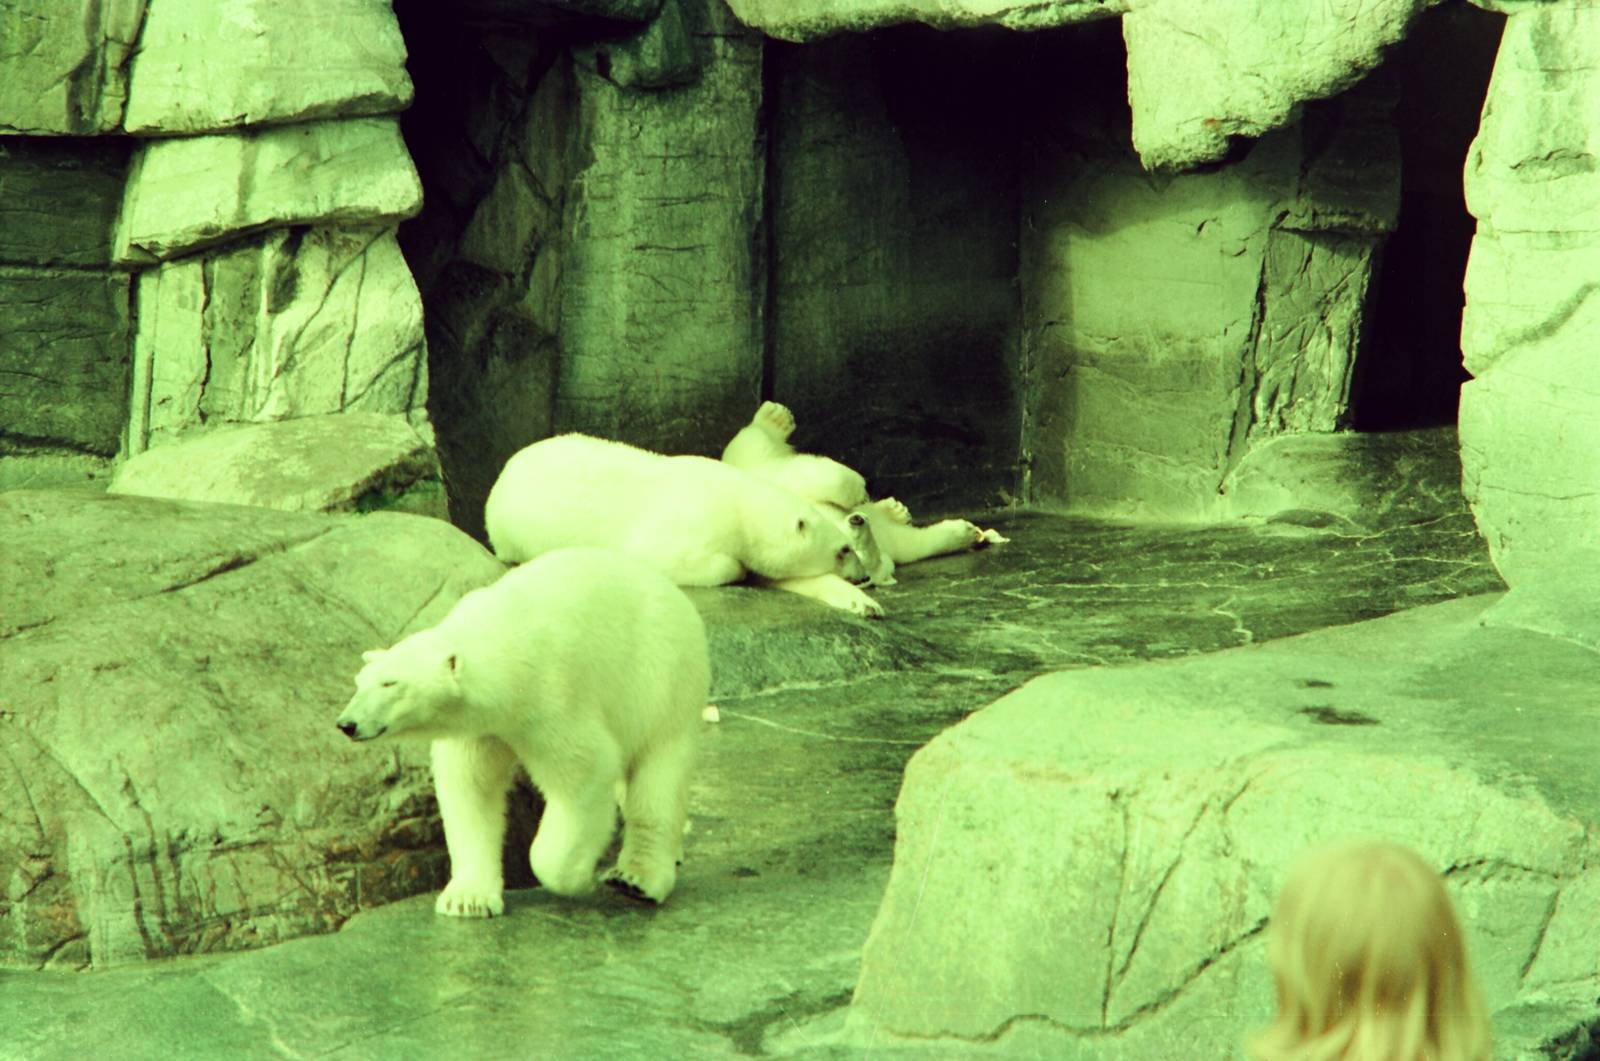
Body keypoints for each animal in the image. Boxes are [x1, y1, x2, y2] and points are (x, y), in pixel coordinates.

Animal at [335, 546, 710, 913]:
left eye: (390, 683)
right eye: (359, 682)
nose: (347, 724)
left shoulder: (551, 699)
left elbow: (585, 772)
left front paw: (575, 877)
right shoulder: (480, 729)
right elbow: (470, 790)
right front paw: (467, 899)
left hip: (661, 679)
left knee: (658, 777)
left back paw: (636, 879)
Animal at [483, 432, 883, 618]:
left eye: (851, 543)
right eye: (843, 550)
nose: (863, 576)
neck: (737, 501)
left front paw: (863, 604)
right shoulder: (686, 524)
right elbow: (669, 559)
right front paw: (736, 569)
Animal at [721, 401, 1006, 587]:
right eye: (848, 551)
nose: (857, 520)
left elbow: (910, 544)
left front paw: (966, 533)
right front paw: (860, 489)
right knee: (753, 444)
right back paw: (773, 419)